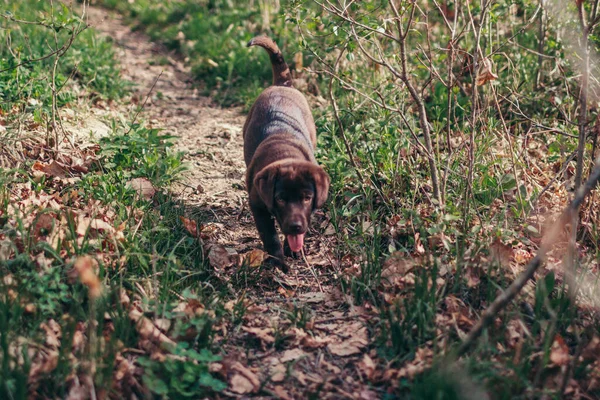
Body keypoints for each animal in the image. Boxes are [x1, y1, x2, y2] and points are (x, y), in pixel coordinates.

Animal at [243, 36, 330, 272]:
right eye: (280, 198)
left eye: (307, 197)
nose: (295, 226)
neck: (284, 153)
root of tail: (282, 84)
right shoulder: (257, 203)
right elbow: (269, 235)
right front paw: (278, 261)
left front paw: (294, 250)